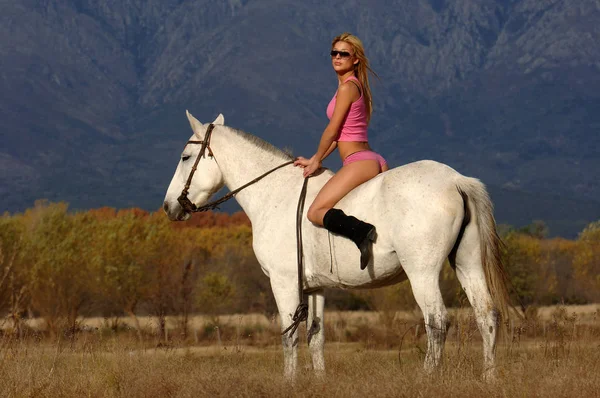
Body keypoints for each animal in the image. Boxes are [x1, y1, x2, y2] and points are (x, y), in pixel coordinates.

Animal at [164, 111, 510, 380]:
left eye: (184, 158)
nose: (169, 207)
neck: (275, 193)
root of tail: (456, 180)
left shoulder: (283, 282)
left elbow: (289, 335)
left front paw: (289, 382)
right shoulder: (314, 287)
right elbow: (315, 335)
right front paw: (319, 381)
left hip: (422, 272)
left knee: (437, 321)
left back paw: (427, 377)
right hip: (466, 263)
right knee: (486, 316)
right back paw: (489, 377)